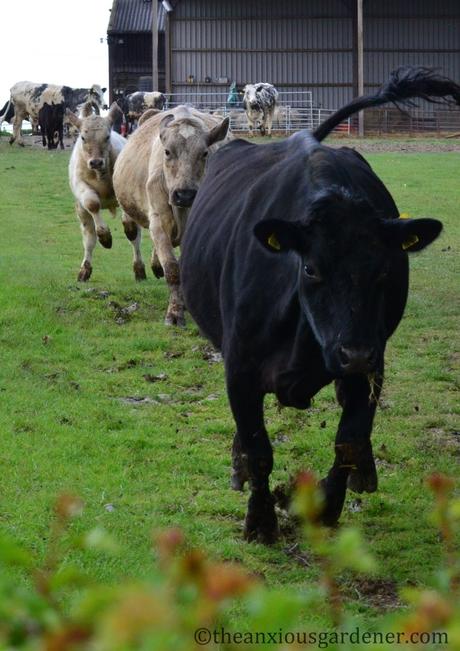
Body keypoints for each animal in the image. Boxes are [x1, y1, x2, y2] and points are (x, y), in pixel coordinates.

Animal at [67, 102, 125, 282]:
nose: (96, 162)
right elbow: (93, 204)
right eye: (83, 138)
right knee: (89, 238)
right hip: (81, 211)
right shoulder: (81, 189)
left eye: (107, 137)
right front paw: (105, 236)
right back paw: (85, 270)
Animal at [113, 105, 230, 325]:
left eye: (204, 153)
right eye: (167, 152)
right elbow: (172, 269)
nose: (184, 194)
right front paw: (175, 313)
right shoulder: (158, 221)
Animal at [180, 67, 460, 544]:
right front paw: (260, 521)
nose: (354, 352)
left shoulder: (371, 368)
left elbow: (348, 439)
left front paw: (328, 507)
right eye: (310, 268)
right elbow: (257, 447)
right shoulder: (240, 368)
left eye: (386, 270)